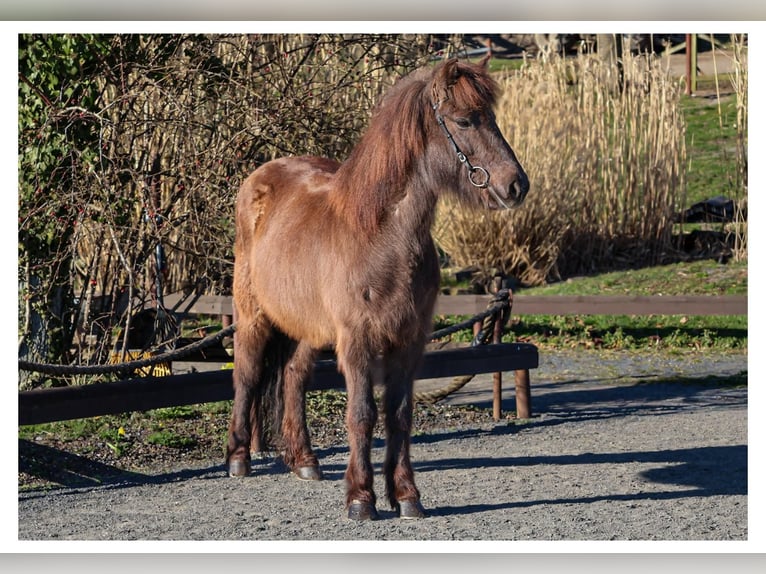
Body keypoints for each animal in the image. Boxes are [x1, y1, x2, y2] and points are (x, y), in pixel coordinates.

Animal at [226, 56, 530, 521]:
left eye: (492, 118)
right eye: (464, 120)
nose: (516, 185)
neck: (381, 236)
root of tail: (261, 176)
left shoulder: (410, 342)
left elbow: (399, 415)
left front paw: (405, 496)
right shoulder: (357, 342)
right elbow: (362, 415)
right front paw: (360, 498)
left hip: (309, 328)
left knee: (293, 376)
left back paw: (304, 460)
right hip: (253, 315)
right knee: (246, 374)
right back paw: (239, 458)